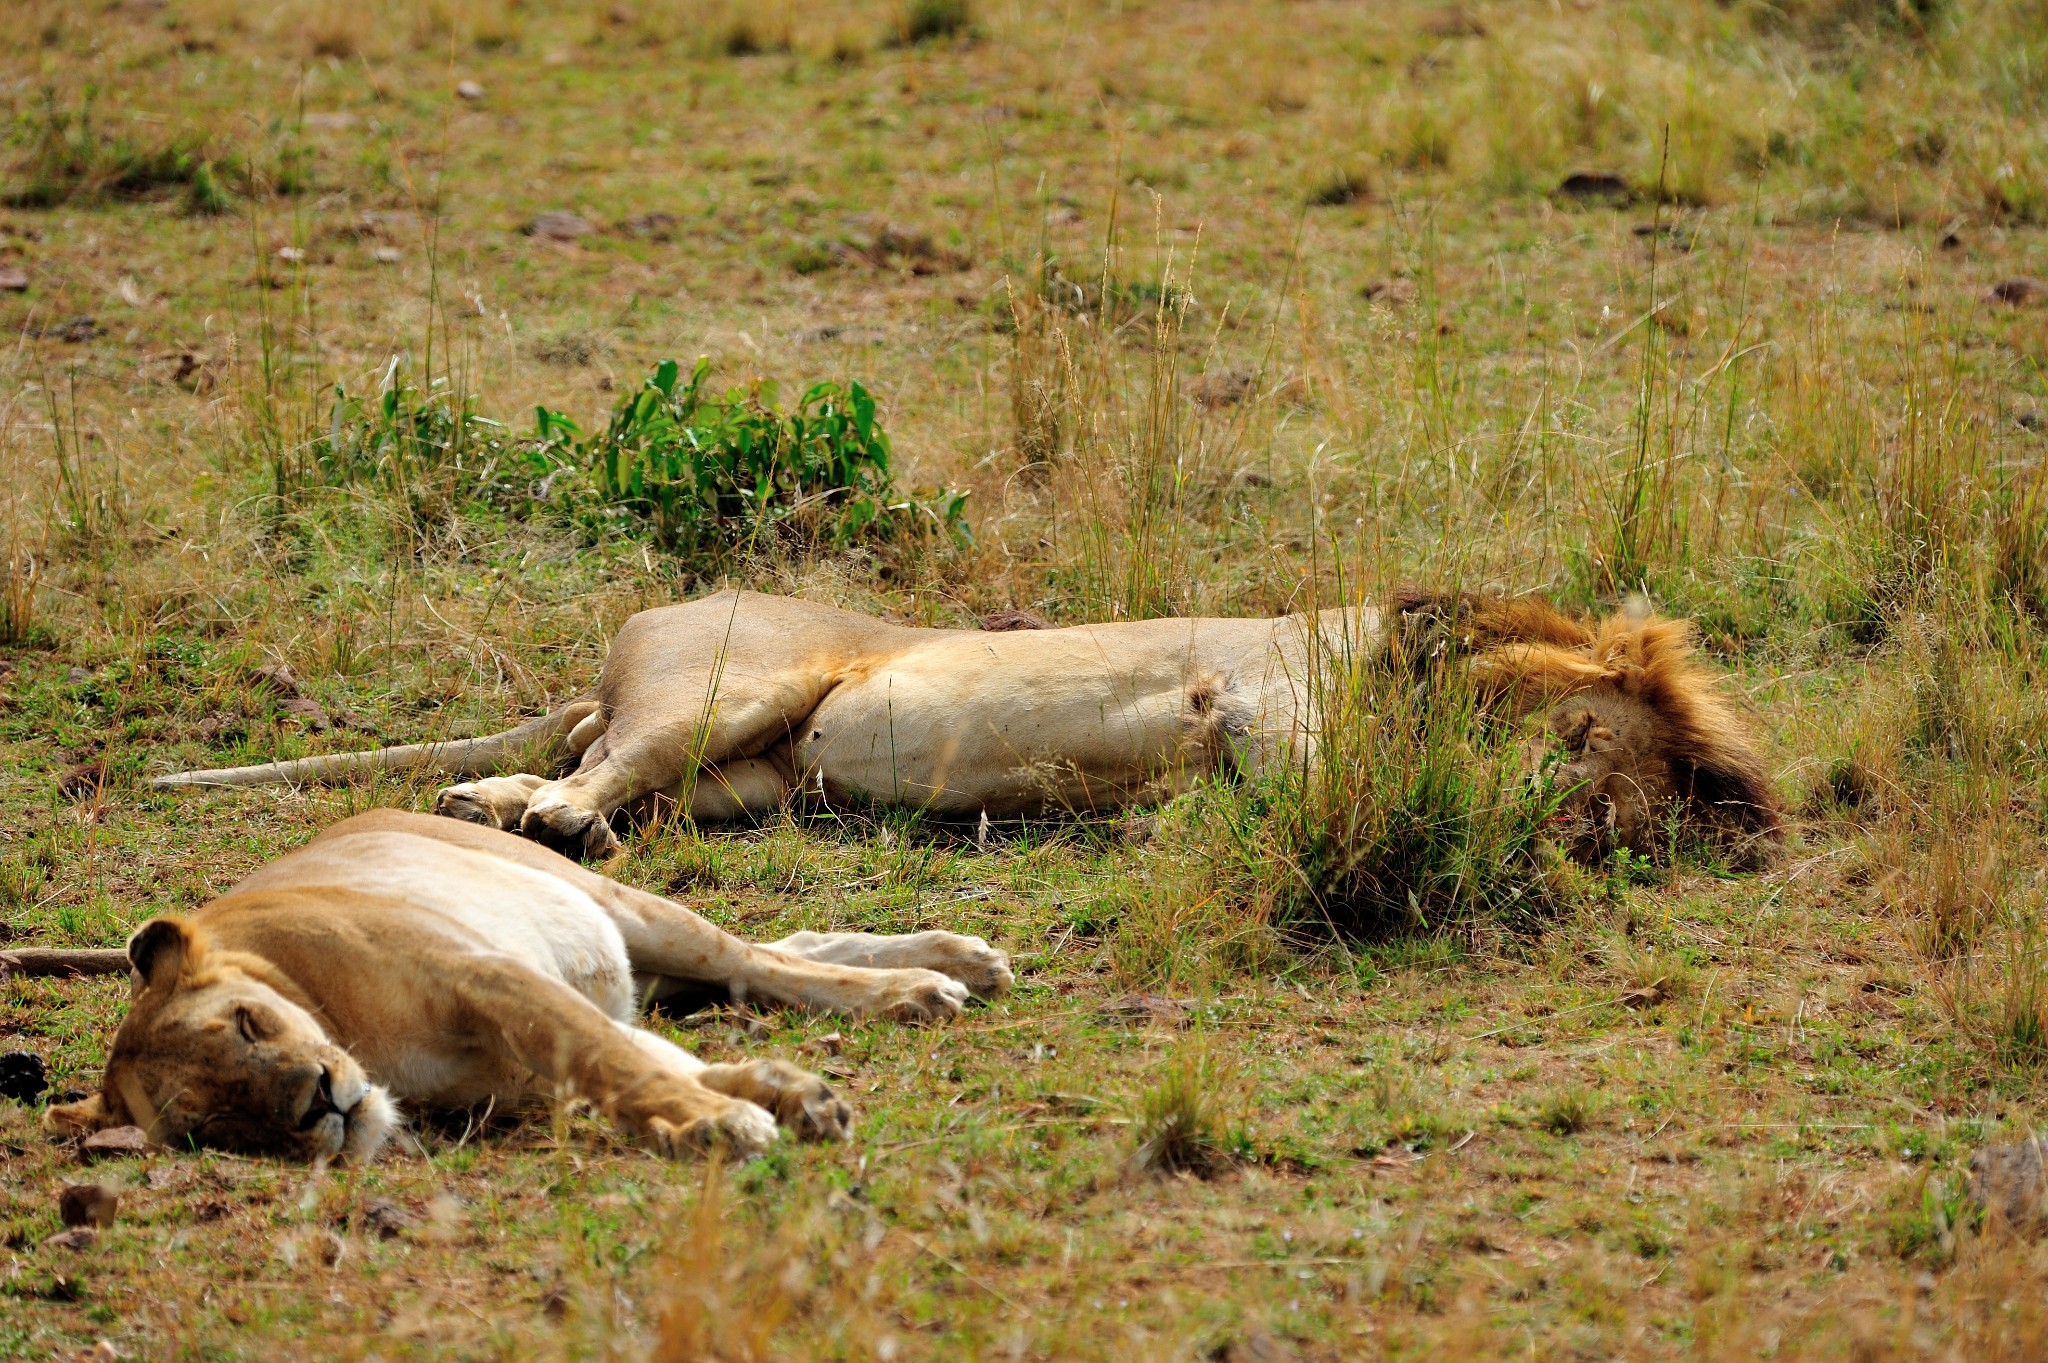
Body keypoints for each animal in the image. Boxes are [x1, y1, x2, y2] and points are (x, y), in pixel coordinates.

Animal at [39, 806, 1007, 1154]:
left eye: (248, 1022)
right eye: (211, 1126)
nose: (319, 1102)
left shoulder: (490, 973)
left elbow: (617, 1059)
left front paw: (724, 1118)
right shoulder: (525, 1071)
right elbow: (645, 1063)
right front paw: (778, 1095)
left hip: (616, 902)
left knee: (756, 957)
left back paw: (935, 977)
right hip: (643, 962)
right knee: (767, 957)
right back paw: (948, 967)